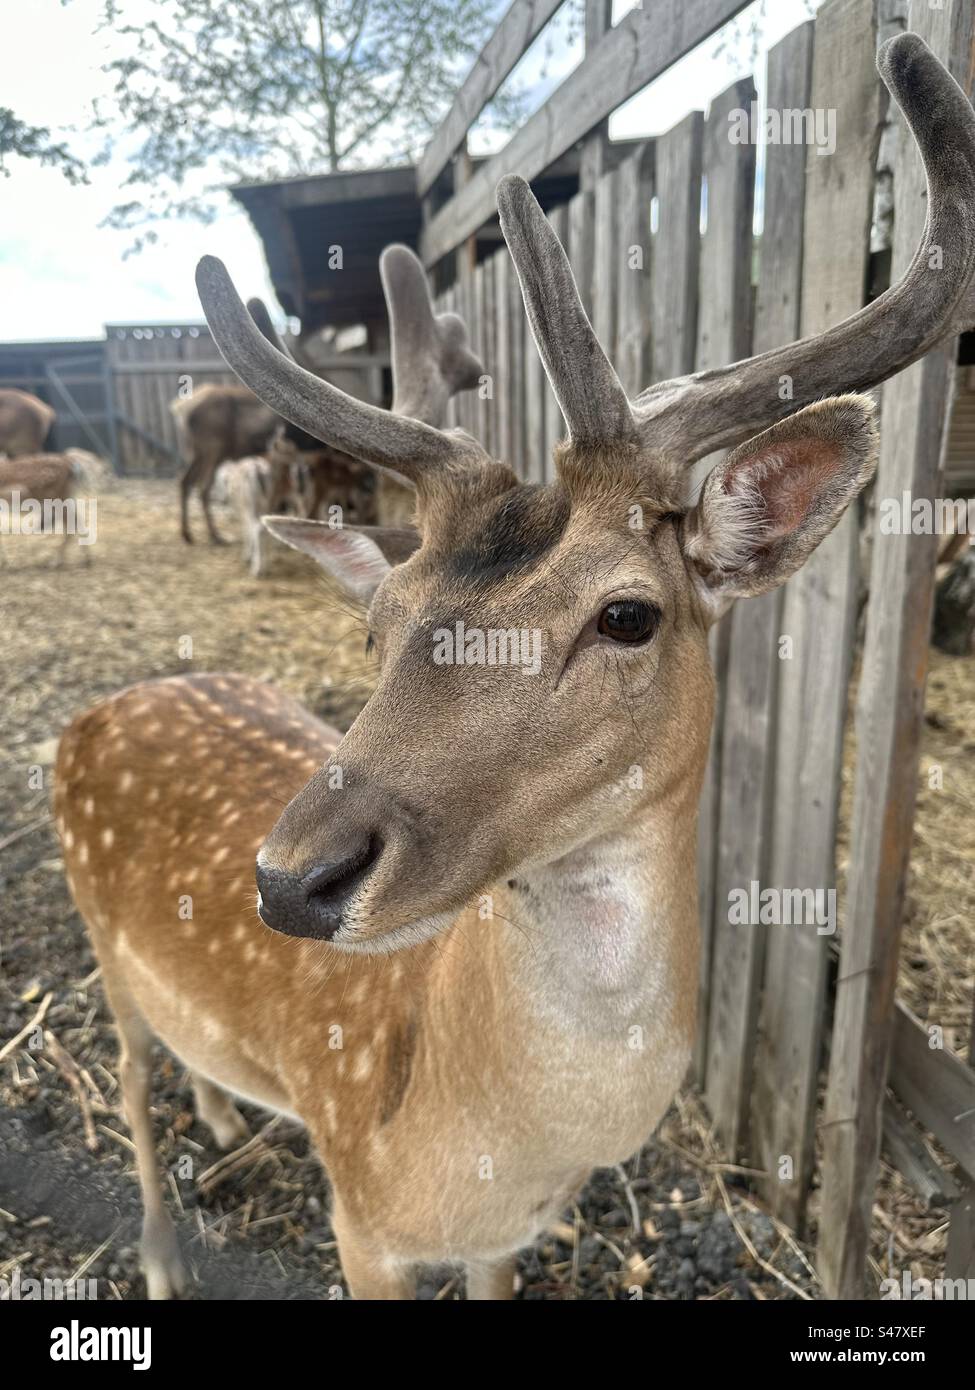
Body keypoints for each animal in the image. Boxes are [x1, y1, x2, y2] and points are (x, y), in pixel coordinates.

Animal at [55, 40, 973, 1301]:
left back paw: (231, 1110)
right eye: (380, 622)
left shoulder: (506, 1239)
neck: (492, 1140)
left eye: (628, 615)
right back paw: (158, 1253)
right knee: (130, 1079)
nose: (289, 881)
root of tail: (89, 714)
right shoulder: (362, 1216)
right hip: (98, 942)